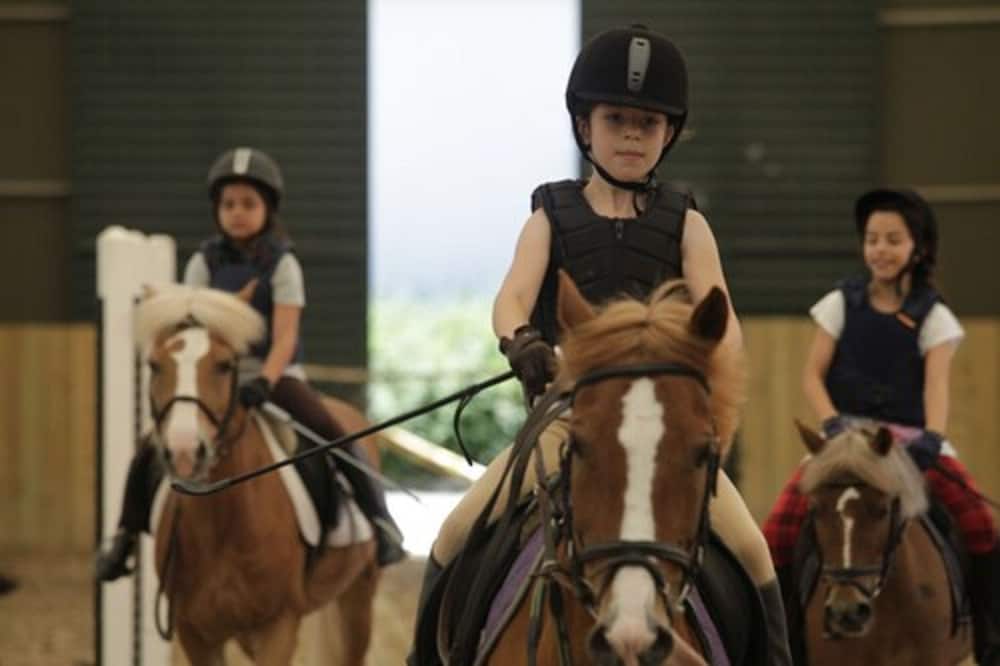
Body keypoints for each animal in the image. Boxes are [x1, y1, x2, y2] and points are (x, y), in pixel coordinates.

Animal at [135, 283, 379, 665]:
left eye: (224, 365)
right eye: (155, 365)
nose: (186, 451)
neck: (222, 524)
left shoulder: (277, 627)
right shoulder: (196, 634)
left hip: (358, 600)